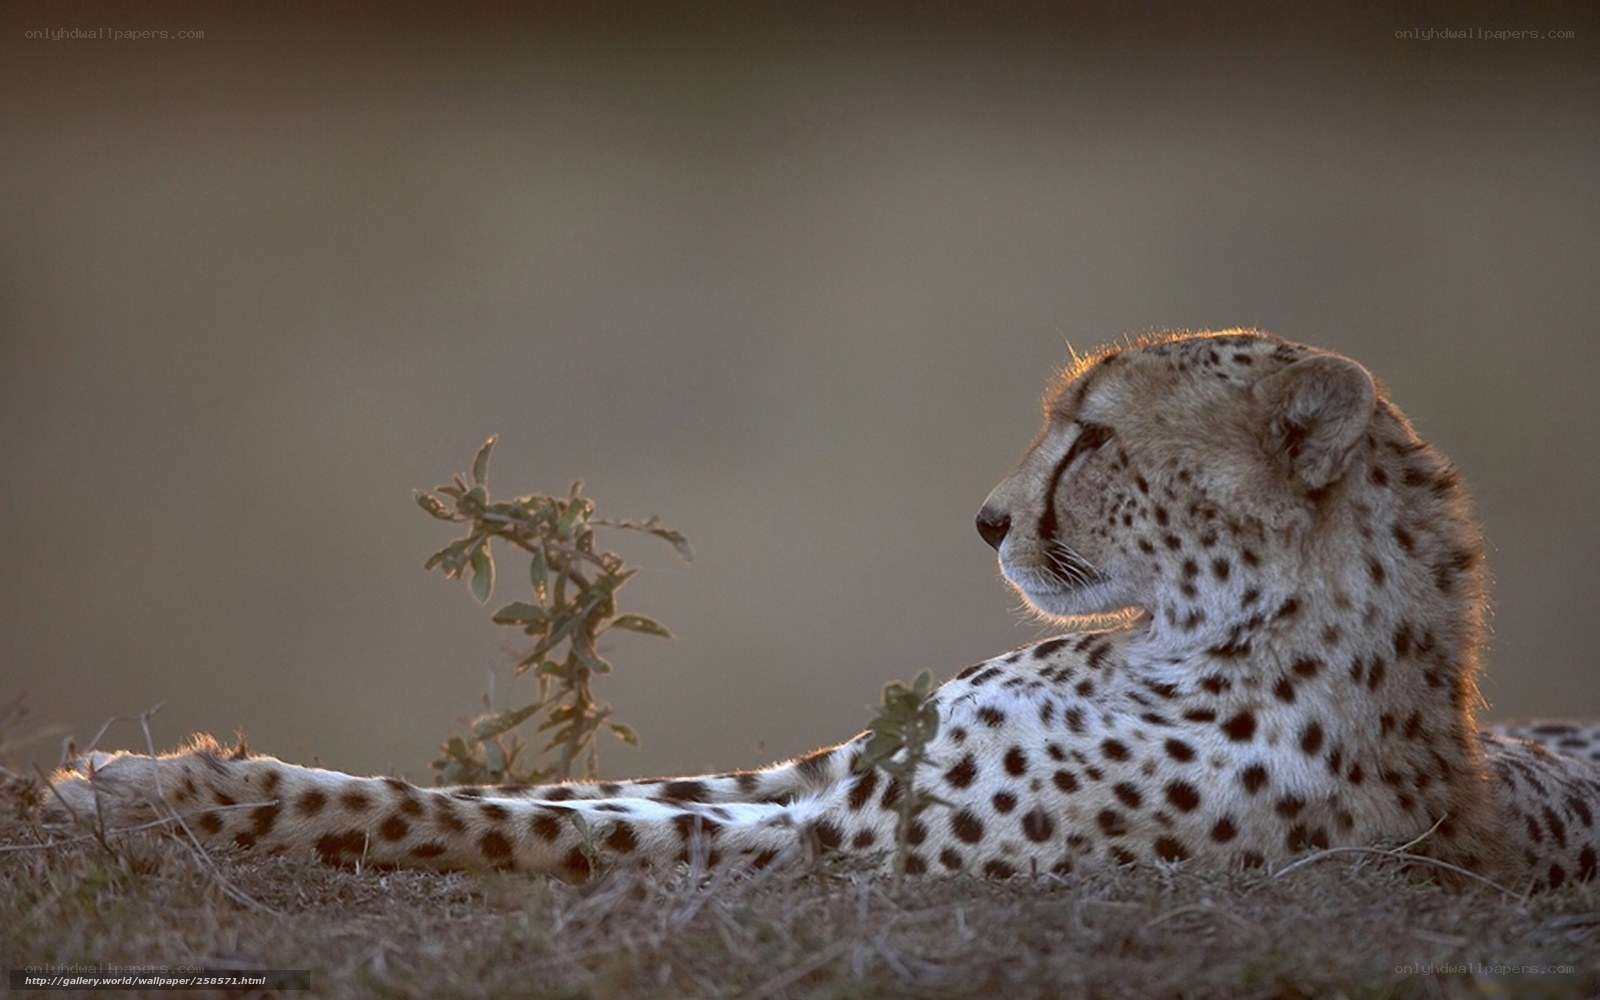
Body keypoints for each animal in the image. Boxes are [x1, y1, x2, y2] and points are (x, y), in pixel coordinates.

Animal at [47, 330, 1600, 891]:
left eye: (1093, 437)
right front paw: (144, 776)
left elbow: (510, 823)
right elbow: (558, 791)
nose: (987, 519)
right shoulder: (831, 773)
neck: (1193, 636)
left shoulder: (841, 838)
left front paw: (184, 796)